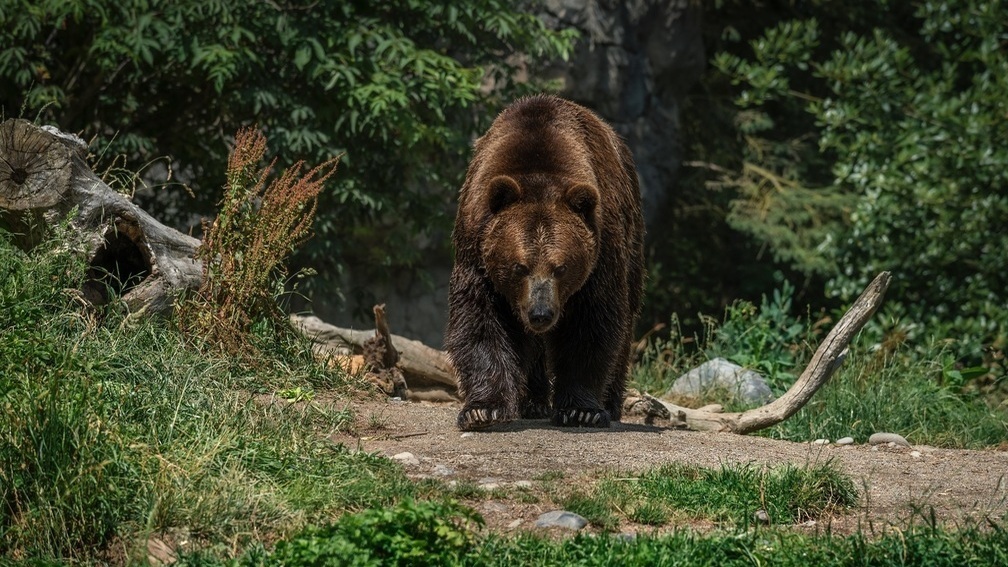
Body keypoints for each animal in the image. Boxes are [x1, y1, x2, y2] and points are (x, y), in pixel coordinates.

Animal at [443, 93, 645, 427]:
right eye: (519, 266)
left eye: (561, 267)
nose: (541, 314)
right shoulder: (476, 246)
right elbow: (479, 320)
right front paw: (483, 409)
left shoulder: (602, 251)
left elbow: (592, 324)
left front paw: (581, 410)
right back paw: (533, 402)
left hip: (633, 239)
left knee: (627, 319)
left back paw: (610, 403)